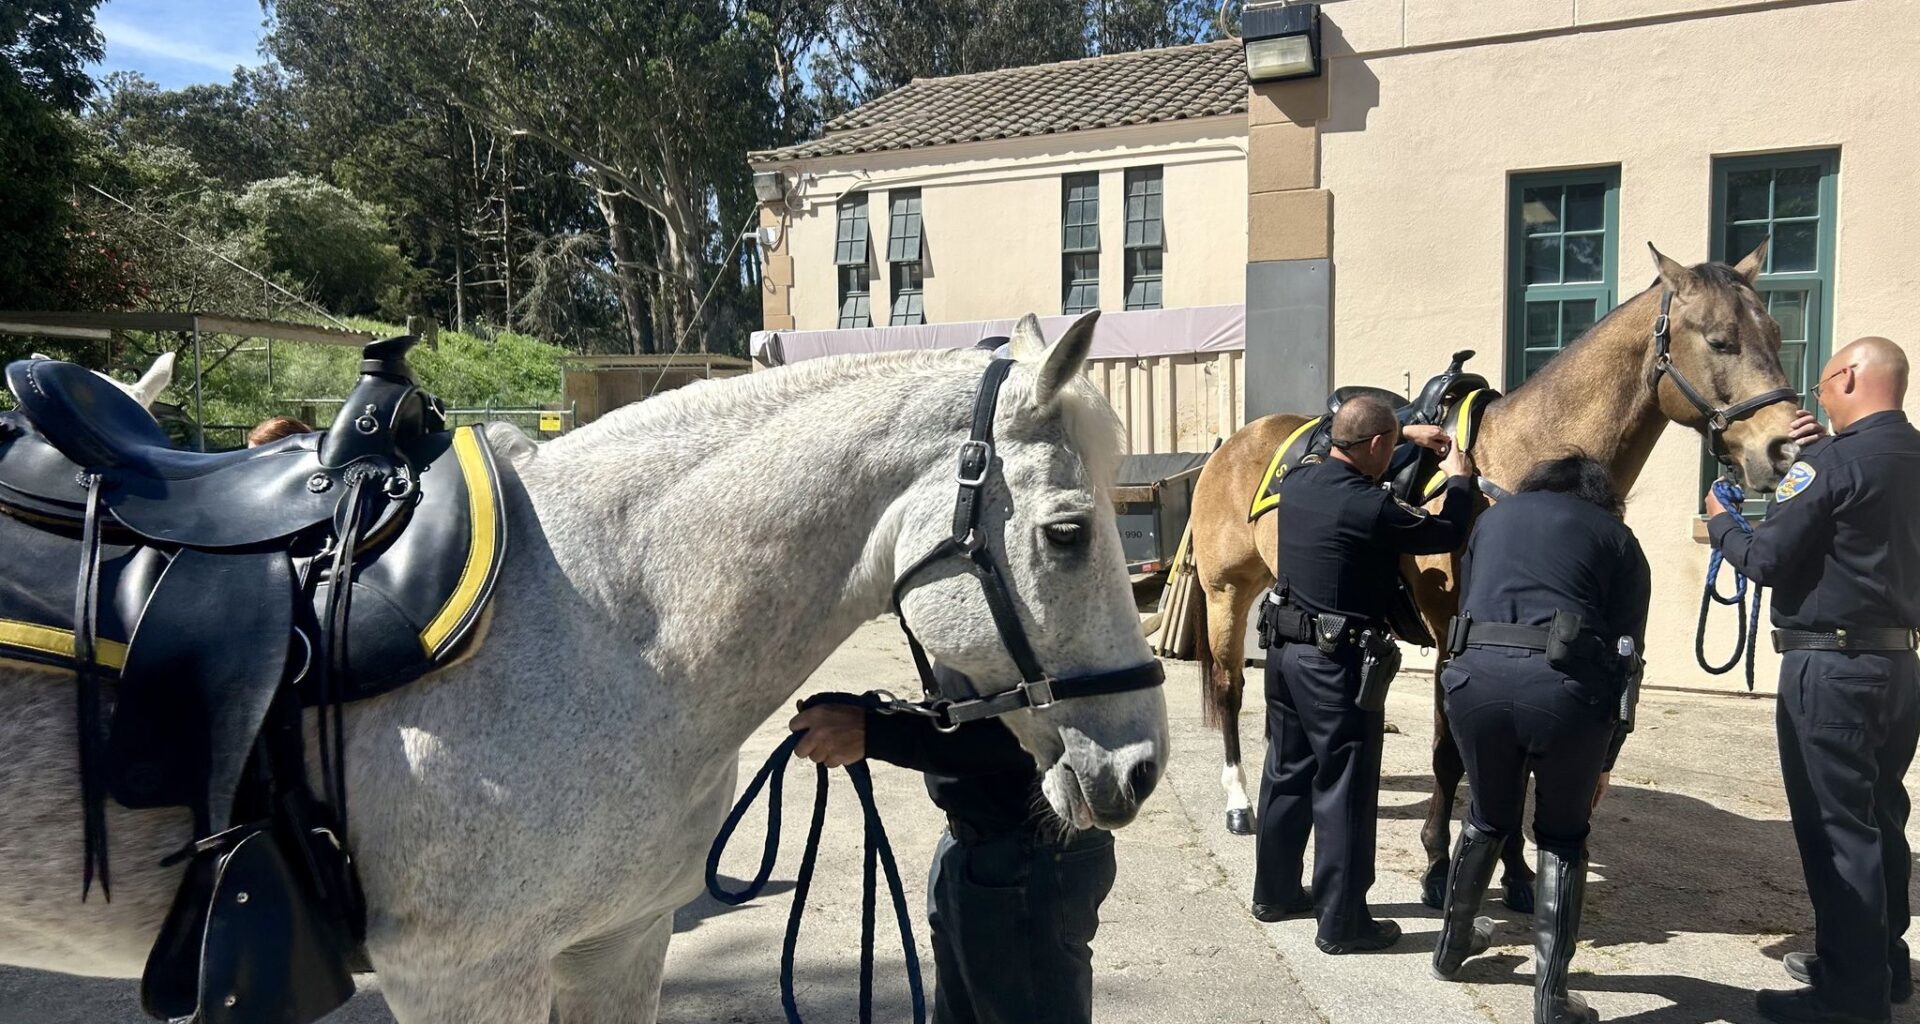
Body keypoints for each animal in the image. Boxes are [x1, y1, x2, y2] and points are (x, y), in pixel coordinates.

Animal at [1185, 242, 1800, 909]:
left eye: (1776, 333)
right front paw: (1438, 868)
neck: (1520, 466)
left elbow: (1510, 764)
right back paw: (1239, 802)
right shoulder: (1457, 637)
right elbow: (1453, 757)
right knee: (1229, 691)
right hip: (1225, 593)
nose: (1784, 447)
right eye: (1719, 340)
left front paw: (1518, 873)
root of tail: (1231, 444)